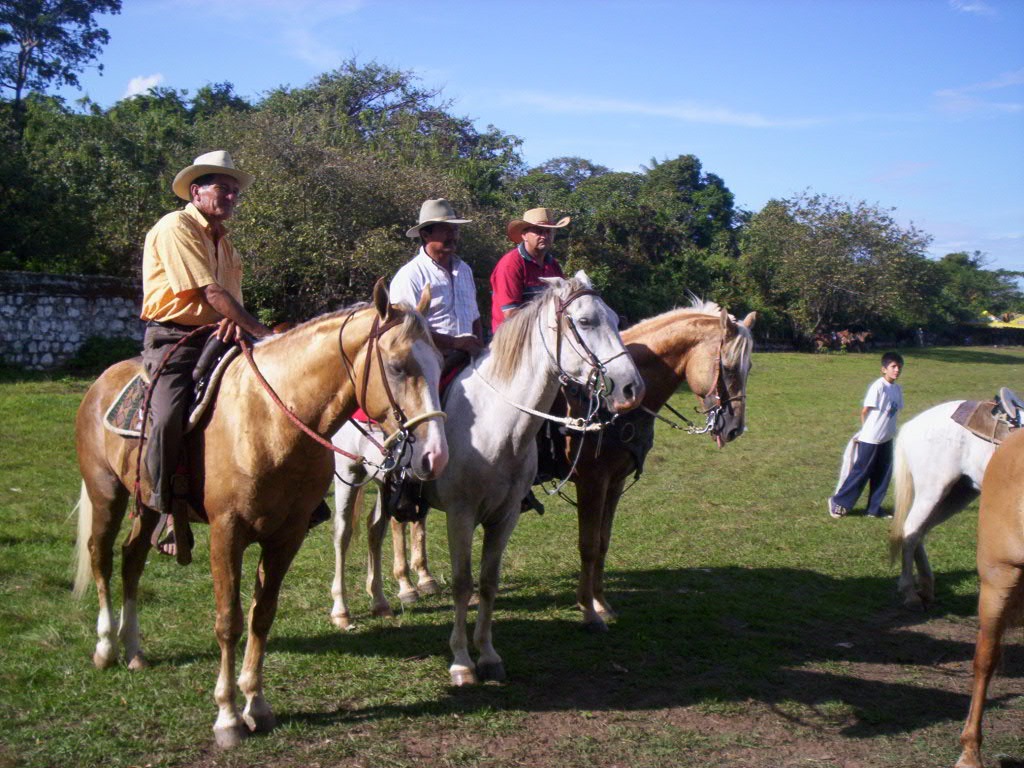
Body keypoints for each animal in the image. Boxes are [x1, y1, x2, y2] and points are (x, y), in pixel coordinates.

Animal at [72, 282, 448, 748]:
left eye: (440, 364)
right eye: (397, 367)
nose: (435, 456)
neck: (270, 422)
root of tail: (101, 383)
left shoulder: (286, 537)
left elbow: (261, 616)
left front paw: (257, 705)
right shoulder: (226, 534)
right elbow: (229, 621)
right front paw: (228, 717)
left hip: (147, 505)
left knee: (131, 560)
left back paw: (134, 650)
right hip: (107, 492)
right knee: (101, 557)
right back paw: (106, 647)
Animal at [330, 273, 645, 684]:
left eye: (614, 318)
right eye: (586, 321)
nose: (631, 388)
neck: (497, 424)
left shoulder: (505, 516)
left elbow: (489, 582)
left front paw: (489, 655)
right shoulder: (460, 515)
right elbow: (464, 583)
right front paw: (462, 661)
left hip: (386, 486)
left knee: (375, 528)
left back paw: (381, 601)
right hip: (347, 476)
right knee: (343, 535)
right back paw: (342, 611)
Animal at [887, 401, 997, 610]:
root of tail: (910, 425)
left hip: (958, 494)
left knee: (919, 531)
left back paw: (926, 589)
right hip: (932, 491)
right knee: (911, 530)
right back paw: (911, 594)